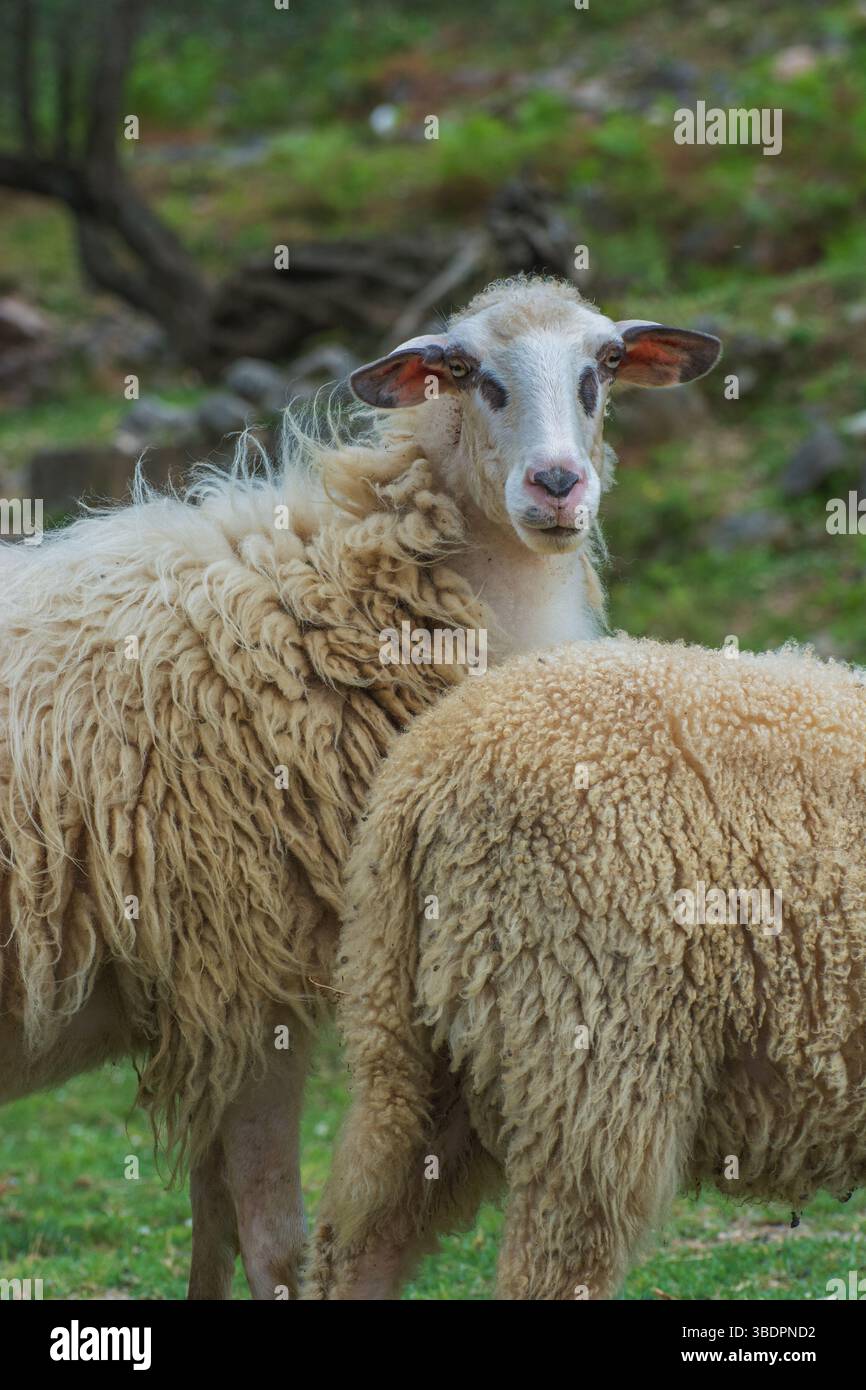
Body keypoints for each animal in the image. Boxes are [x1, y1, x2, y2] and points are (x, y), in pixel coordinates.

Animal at [0, 275, 720, 1300]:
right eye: (467, 371)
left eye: (605, 366)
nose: (556, 486)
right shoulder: (243, 982)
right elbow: (272, 1240)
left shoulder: (213, 1001)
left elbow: (212, 1229)